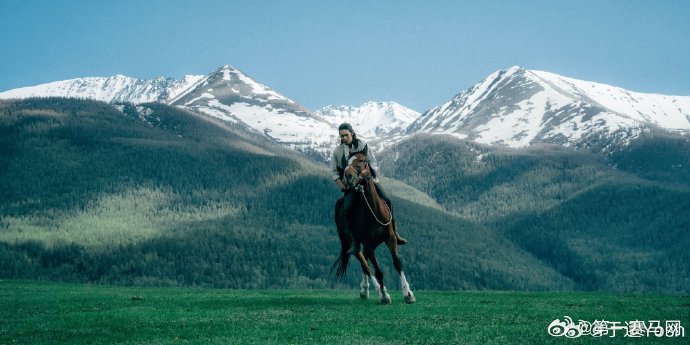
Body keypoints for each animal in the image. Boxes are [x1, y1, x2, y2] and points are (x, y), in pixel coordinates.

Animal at [330, 146, 416, 302]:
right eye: (347, 162)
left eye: (361, 160)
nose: (348, 176)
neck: (373, 210)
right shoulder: (369, 246)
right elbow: (378, 271)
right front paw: (384, 296)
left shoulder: (390, 238)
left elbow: (397, 263)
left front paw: (408, 294)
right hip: (353, 242)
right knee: (364, 263)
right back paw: (373, 290)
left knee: (365, 263)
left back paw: (366, 289)